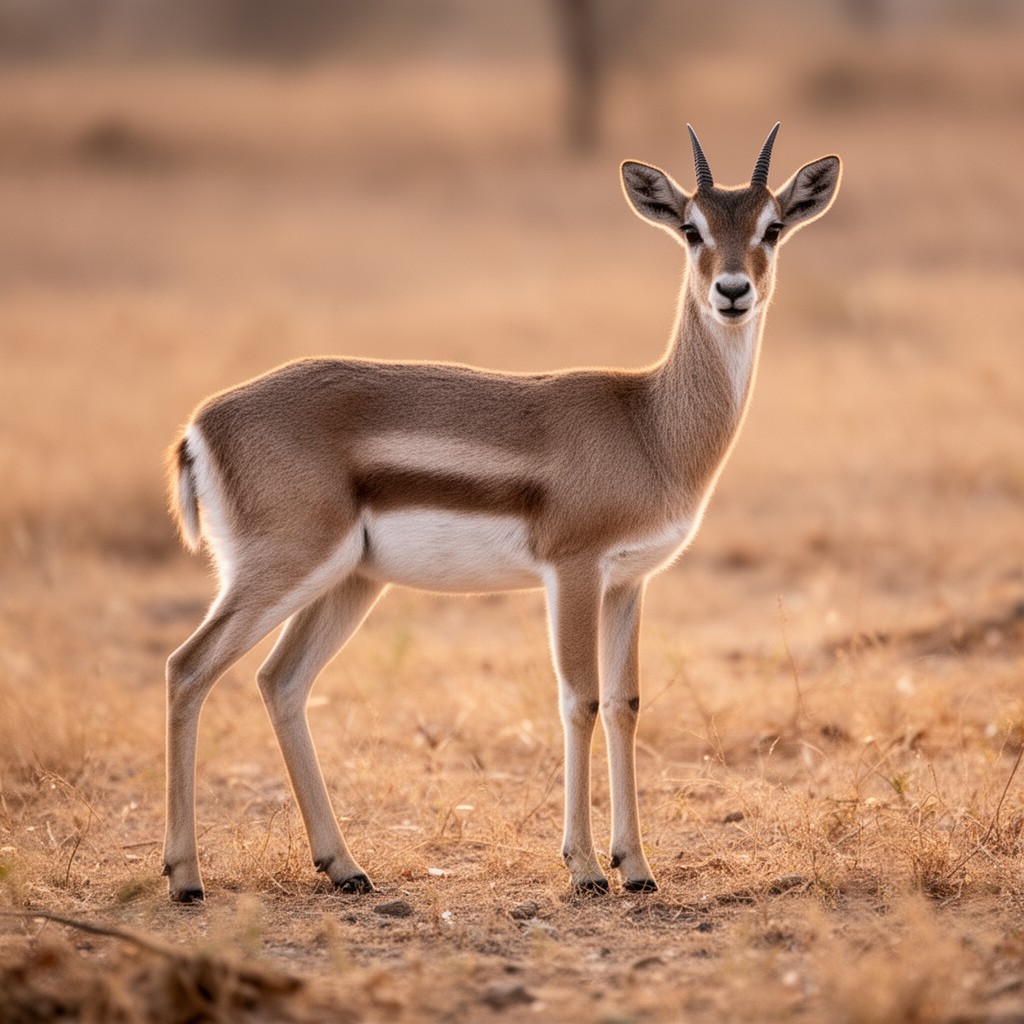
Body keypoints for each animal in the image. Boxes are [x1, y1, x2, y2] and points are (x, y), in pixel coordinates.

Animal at [163, 124, 841, 902]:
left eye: (773, 227)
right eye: (692, 230)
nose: (733, 291)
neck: (647, 424)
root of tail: (202, 423)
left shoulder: (629, 582)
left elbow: (626, 704)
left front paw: (636, 868)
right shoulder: (573, 572)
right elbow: (579, 700)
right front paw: (584, 869)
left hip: (349, 582)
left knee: (280, 682)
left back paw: (345, 867)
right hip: (282, 569)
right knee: (187, 668)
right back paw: (185, 877)